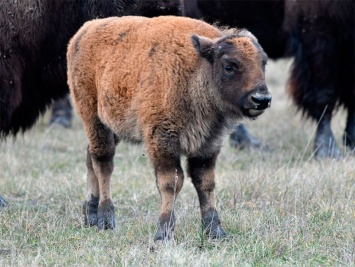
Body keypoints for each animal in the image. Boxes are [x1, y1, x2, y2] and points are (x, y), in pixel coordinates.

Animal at [67, 16, 272, 243]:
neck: (196, 69)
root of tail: (85, 30)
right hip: (94, 119)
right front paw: (163, 233)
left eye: (263, 63)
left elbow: (205, 182)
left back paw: (90, 215)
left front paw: (215, 231)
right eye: (229, 66)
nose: (261, 99)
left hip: (114, 127)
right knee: (104, 163)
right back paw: (105, 218)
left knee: (90, 157)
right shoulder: (162, 142)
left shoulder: (208, 145)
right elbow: (171, 183)